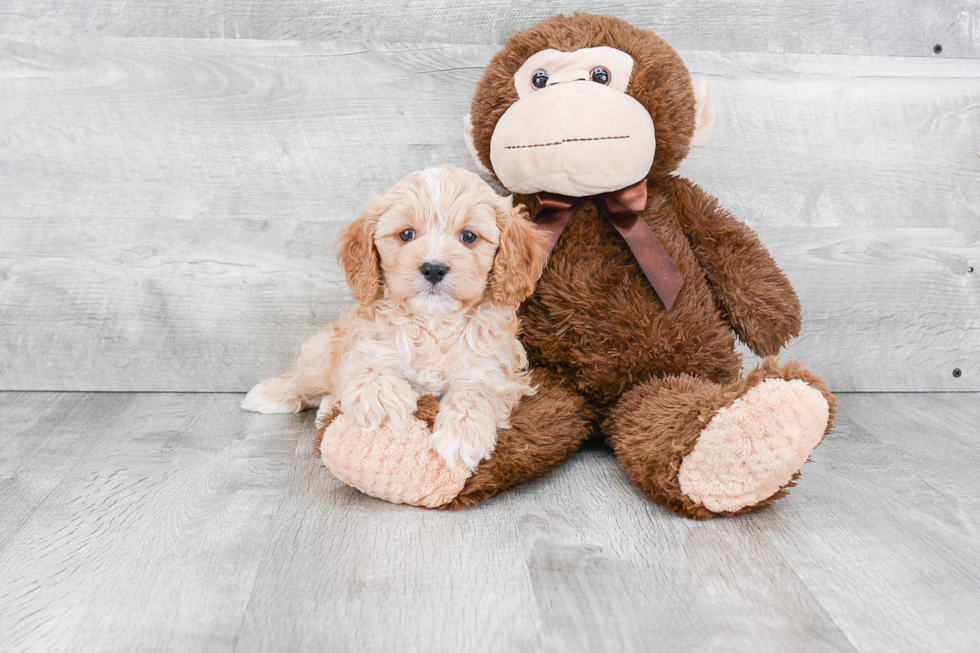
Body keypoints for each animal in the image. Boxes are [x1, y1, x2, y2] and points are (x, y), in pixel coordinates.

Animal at [237, 167, 544, 474]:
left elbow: (476, 391)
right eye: (406, 234)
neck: (433, 323)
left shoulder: (496, 370)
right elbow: (366, 370)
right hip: (320, 356)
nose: (433, 268)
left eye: (469, 236)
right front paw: (381, 401)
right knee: (305, 380)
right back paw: (269, 394)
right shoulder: (364, 346)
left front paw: (462, 434)